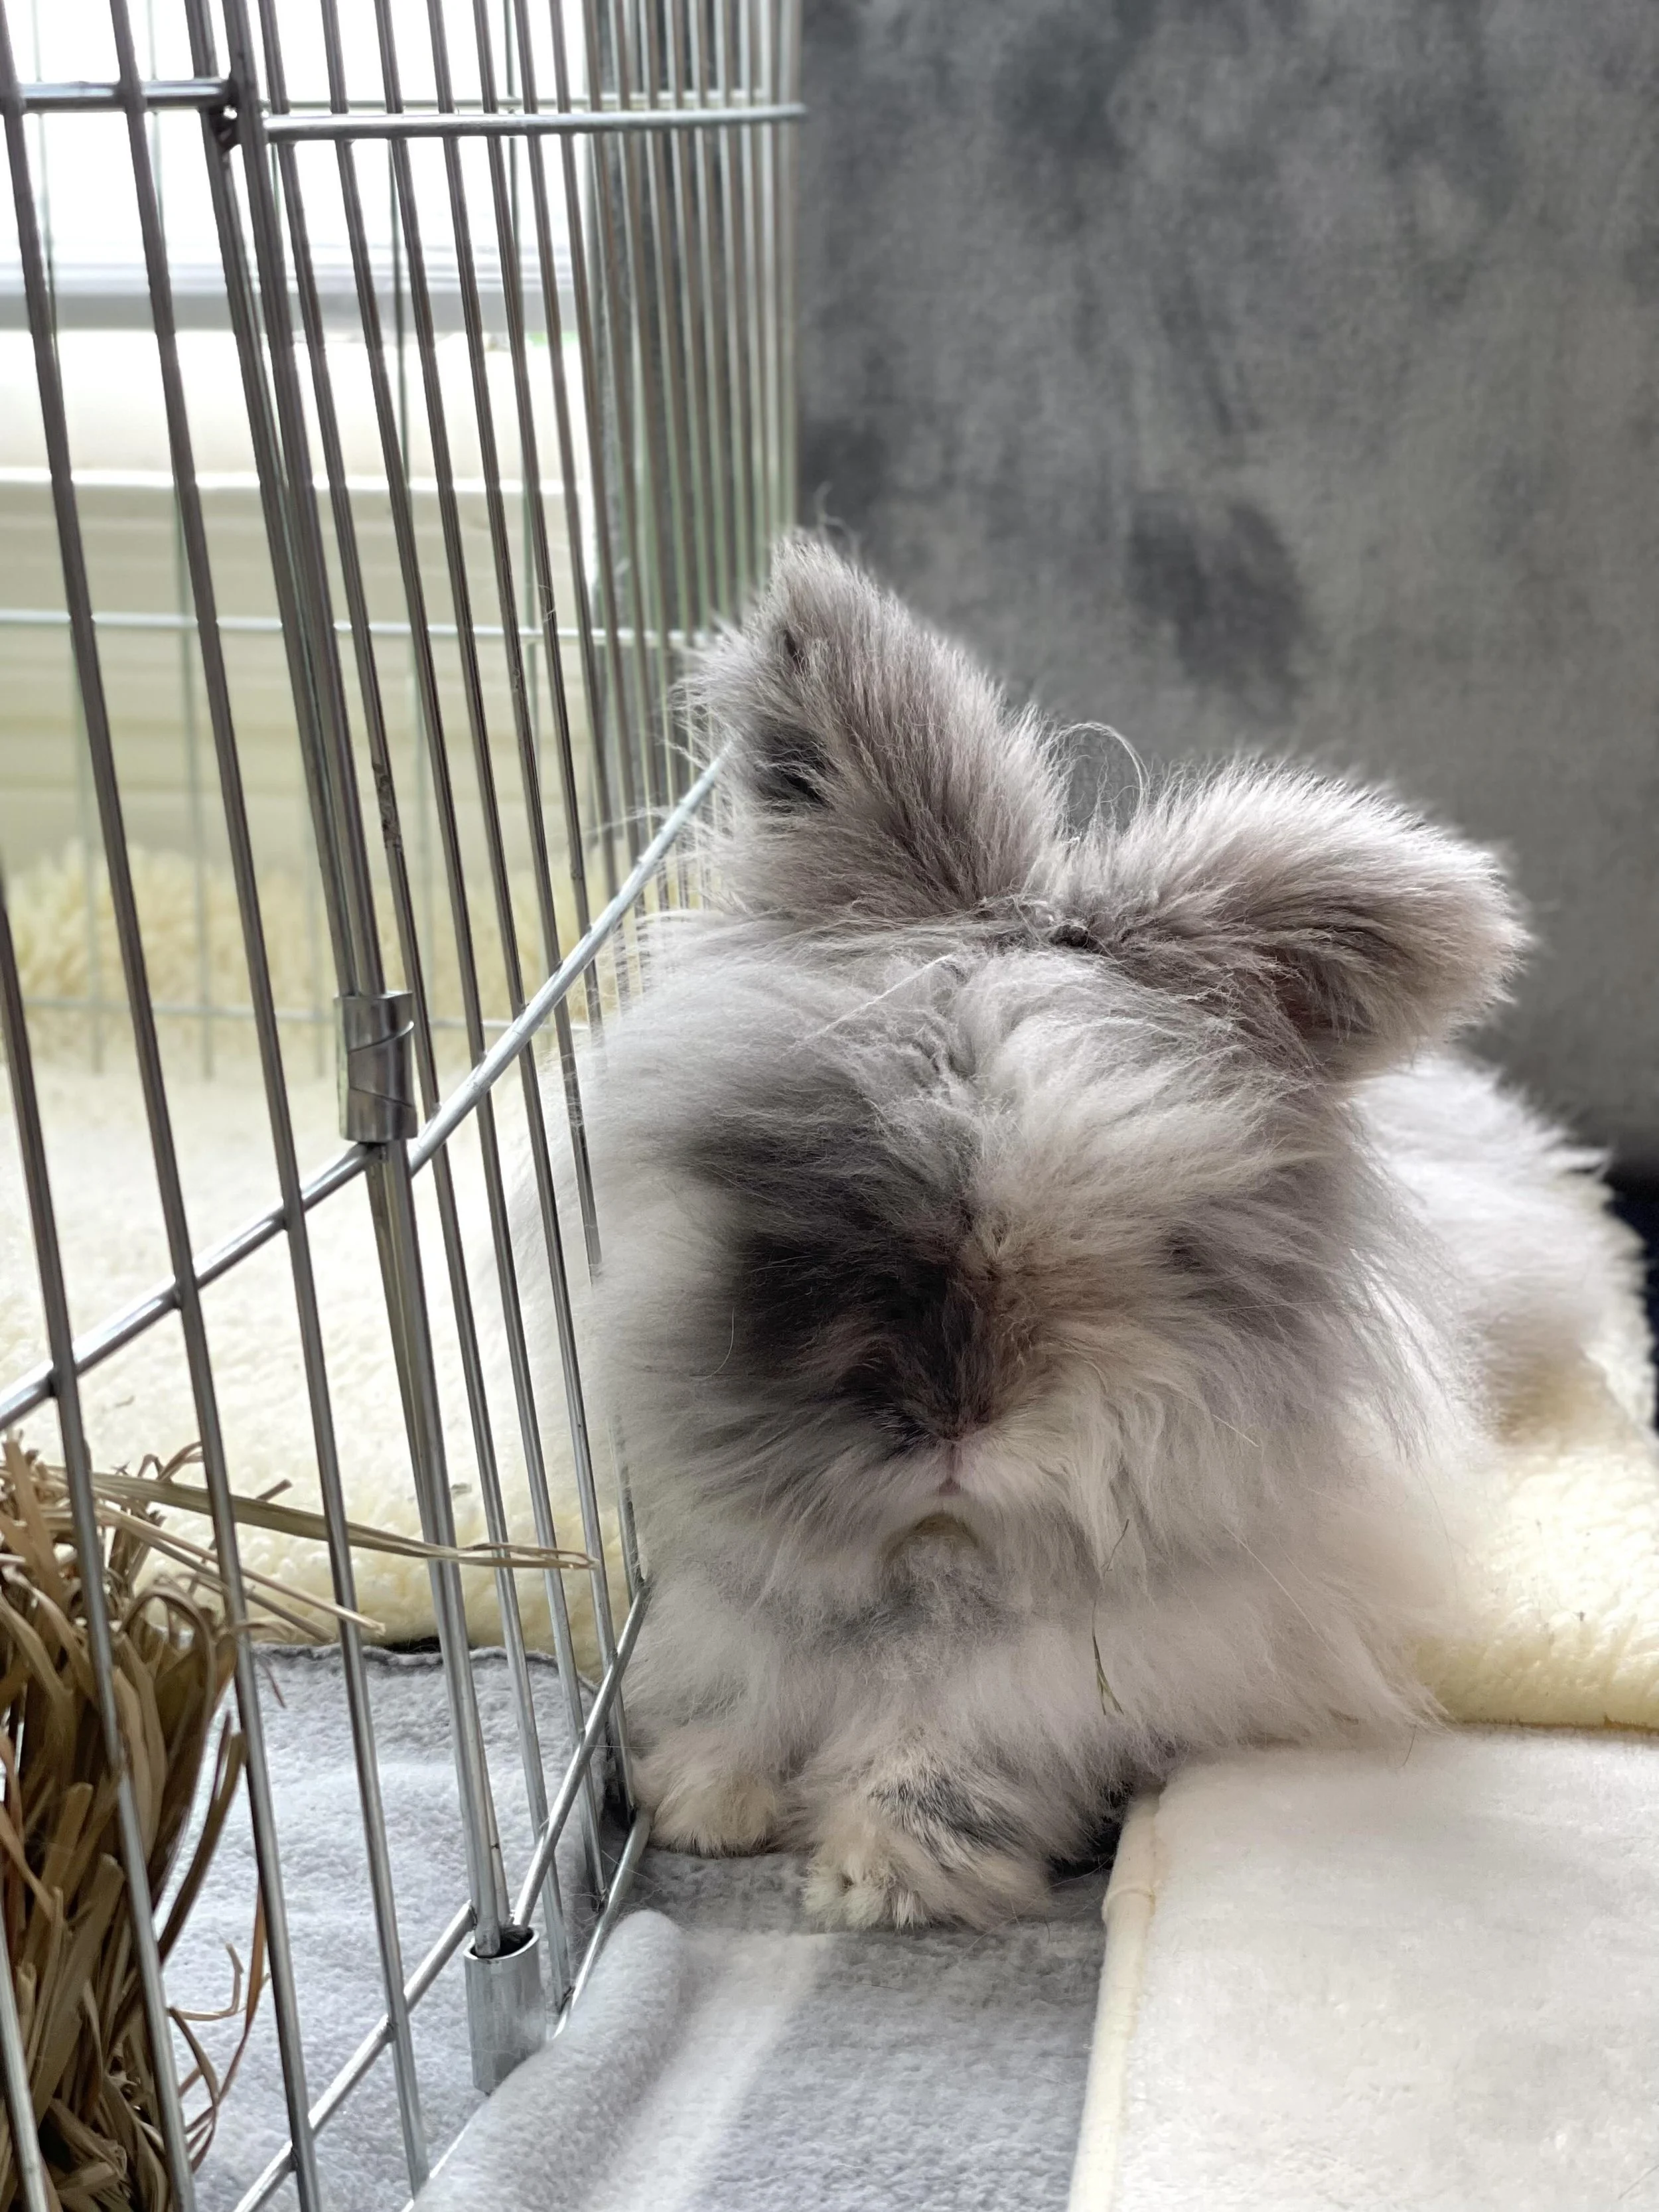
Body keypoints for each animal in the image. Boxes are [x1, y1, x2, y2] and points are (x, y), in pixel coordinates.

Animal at [562, 538, 1628, 1930]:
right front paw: (707, 1800)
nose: (956, 1420)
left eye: (1148, 1240)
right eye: (805, 1168)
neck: (938, 1561)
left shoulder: (1100, 1683)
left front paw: (878, 1880)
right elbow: (741, 1696)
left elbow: (950, 1755)